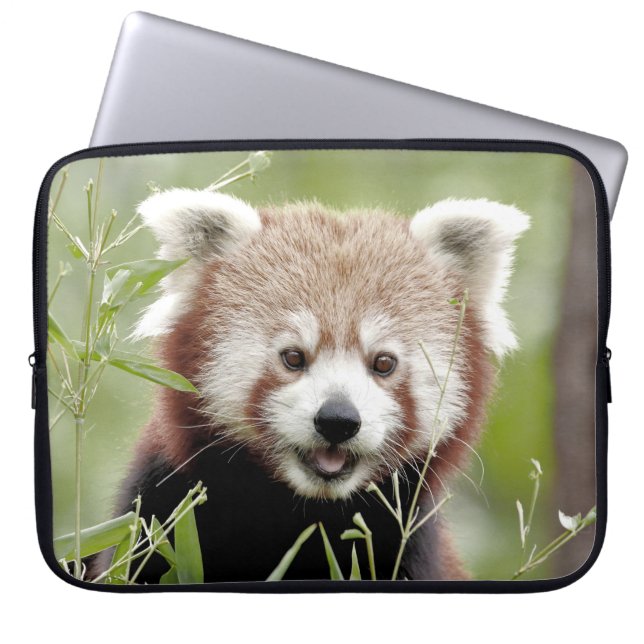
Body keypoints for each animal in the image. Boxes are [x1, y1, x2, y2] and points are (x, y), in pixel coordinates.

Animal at [92, 189, 529, 583]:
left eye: (383, 363)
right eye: (293, 357)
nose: (338, 420)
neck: (307, 513)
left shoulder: (408, 547)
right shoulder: (163, 513)